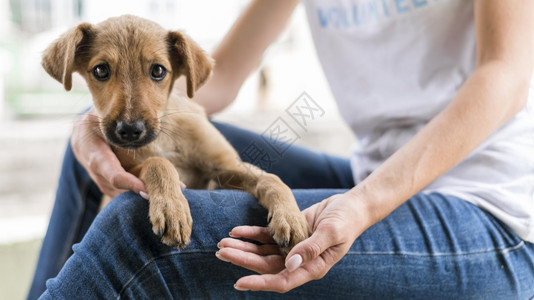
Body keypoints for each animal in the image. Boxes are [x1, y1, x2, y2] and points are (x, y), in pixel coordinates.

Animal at [42, 14, 312, 253]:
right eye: (100, 71)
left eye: (158, 71)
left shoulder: (225, 167)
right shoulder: (127, 170)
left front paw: (292, 218)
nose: (129, 130)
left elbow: (271, 179)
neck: (165, 137)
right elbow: (158, 163)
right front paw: (172, 210)